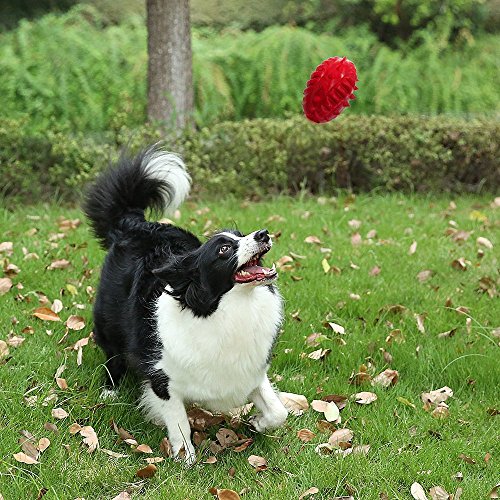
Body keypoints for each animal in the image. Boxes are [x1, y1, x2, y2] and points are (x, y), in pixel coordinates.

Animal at [83, 147, 288, 464]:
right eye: (224, 249)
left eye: (241, 234)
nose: (263, 234)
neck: (229, 310)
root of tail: (134, 224)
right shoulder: (162, 378)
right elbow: (179, 420)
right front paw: (185, 457)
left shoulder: (251, 371)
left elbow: (280, 411)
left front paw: (258, 422)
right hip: (109, 320)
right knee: (113, 354)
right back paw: (110, 390)